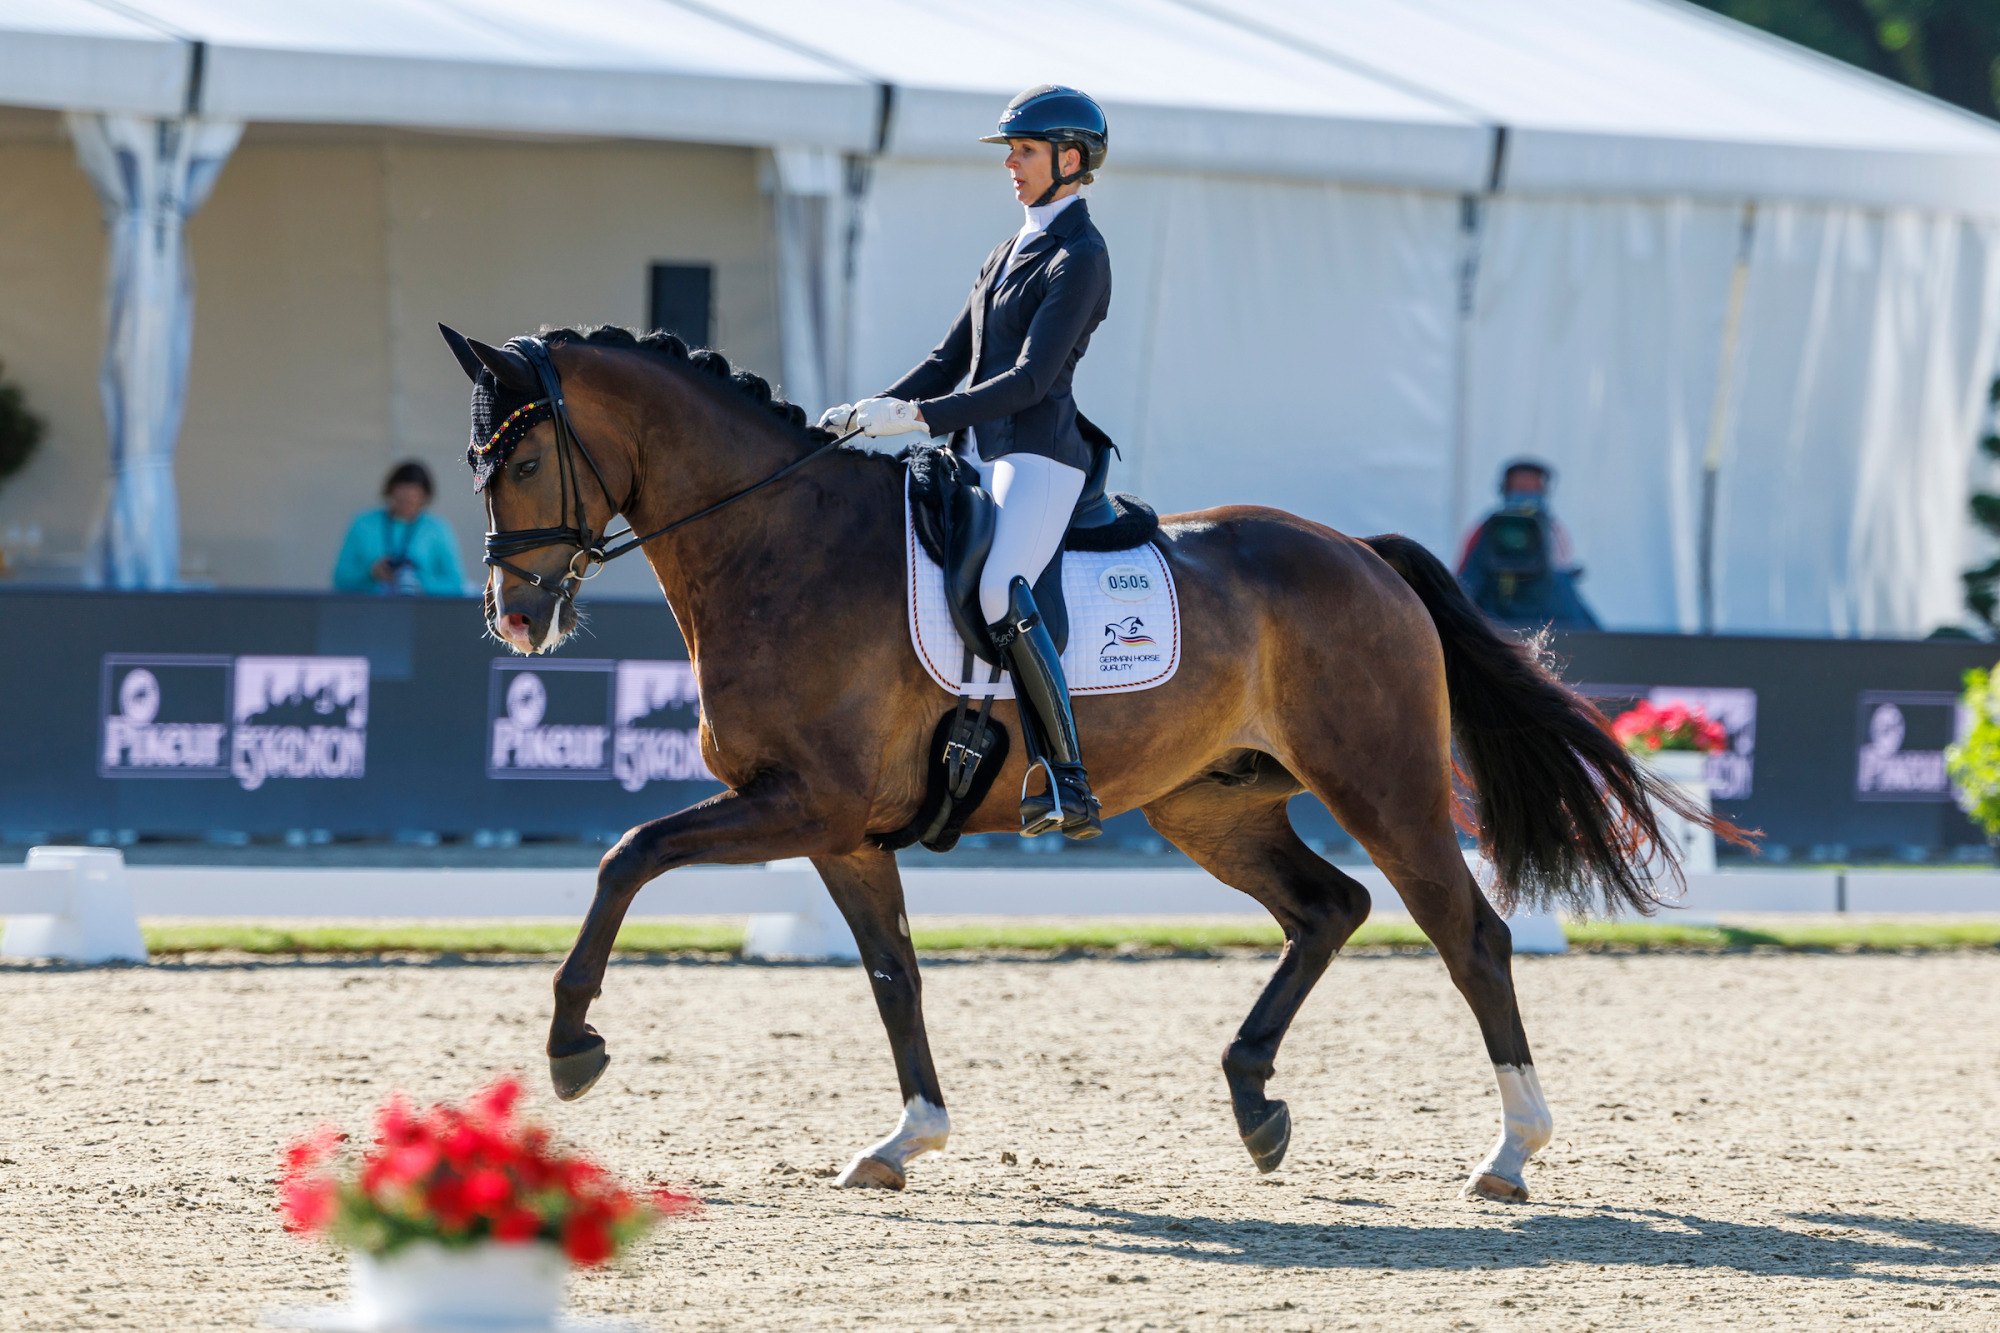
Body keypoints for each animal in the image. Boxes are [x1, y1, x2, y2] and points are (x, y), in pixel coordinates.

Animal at [441, 323, 1716, 1203]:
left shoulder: (799, 802)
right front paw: (905, 1138)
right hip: (1214, 806)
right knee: (1328, 908)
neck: (783, 543)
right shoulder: (843, 830)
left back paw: (1508, 1150)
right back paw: (1255, 1102)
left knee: (1468, 935)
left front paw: (572, 1047)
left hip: (1381, 781)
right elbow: (891, 974)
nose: (514, 619)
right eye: (474, 462)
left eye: (520, 464)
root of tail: (1361, 552)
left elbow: (626, 853)